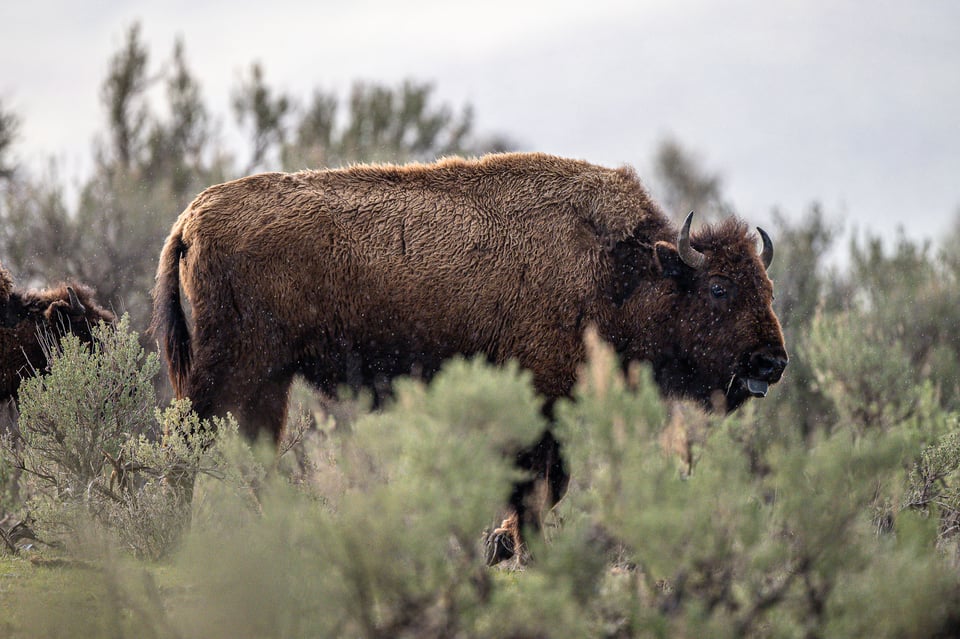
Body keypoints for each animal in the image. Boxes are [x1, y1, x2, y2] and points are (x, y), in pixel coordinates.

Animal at [152, 152, 788, 564]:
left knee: (253, 454)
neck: (621, 268)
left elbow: (551, 484)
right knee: (188, 445)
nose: (771, 363)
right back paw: (173, 537)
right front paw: (520, 548)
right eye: (719, 289)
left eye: (768, 290)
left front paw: (499, 544)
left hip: (269, 381)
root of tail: (191, 217)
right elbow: (537, 485)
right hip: (231, 371)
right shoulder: (539, 402)